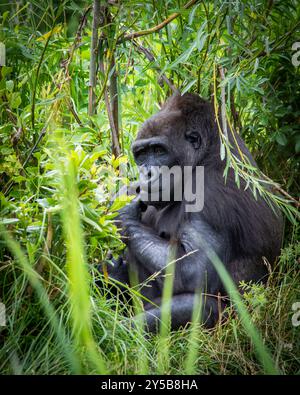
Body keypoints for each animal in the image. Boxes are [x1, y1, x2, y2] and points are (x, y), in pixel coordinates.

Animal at [102, 93, 282, 334]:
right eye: (141, 154)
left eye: (158, 150)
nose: (146, 173)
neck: (206, 154)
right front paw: (113, 272)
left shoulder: (210, 193)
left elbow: (194, 271)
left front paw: (123, 211)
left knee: (198, 305)